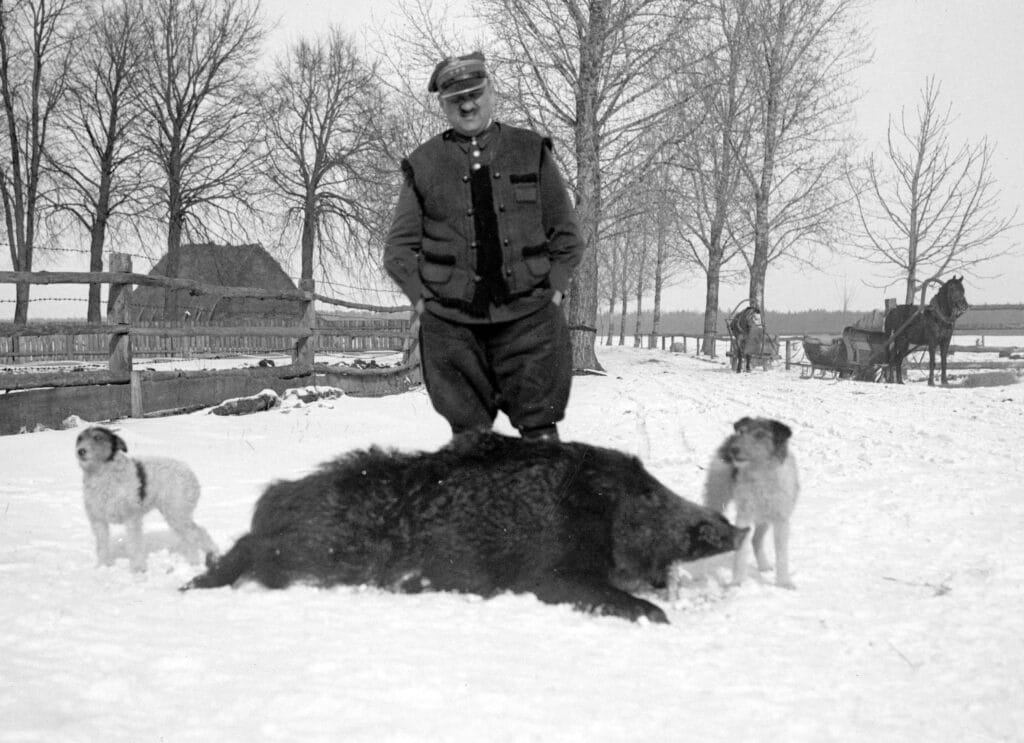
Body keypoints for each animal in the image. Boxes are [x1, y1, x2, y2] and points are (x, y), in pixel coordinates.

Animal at [74, 427, 217, 573]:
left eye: (97, 437)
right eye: (79, 439)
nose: (81, 451)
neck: (102, 474)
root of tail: (190, 474)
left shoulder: (131, 518)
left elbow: (134, 544)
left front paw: (137, 568)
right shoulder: (98, 520)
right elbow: (102, 546)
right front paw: (102, 566)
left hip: (176, 513)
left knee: (192, 535)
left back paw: (194, 563)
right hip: (178, 514)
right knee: (199, 530)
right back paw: (212, 552)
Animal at [704, 419, 798, 589]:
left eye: (760, 435)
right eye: (742, 431)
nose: (734, 450)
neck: (761, 475)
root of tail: (730, 439)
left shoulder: (781, 519)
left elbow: (781, 554)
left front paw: (784, 583)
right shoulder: (743, 516)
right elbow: (740, 553)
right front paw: (737, 582)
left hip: (764, 517)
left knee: (756, 540)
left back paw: (764, 566)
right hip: (716, 496)